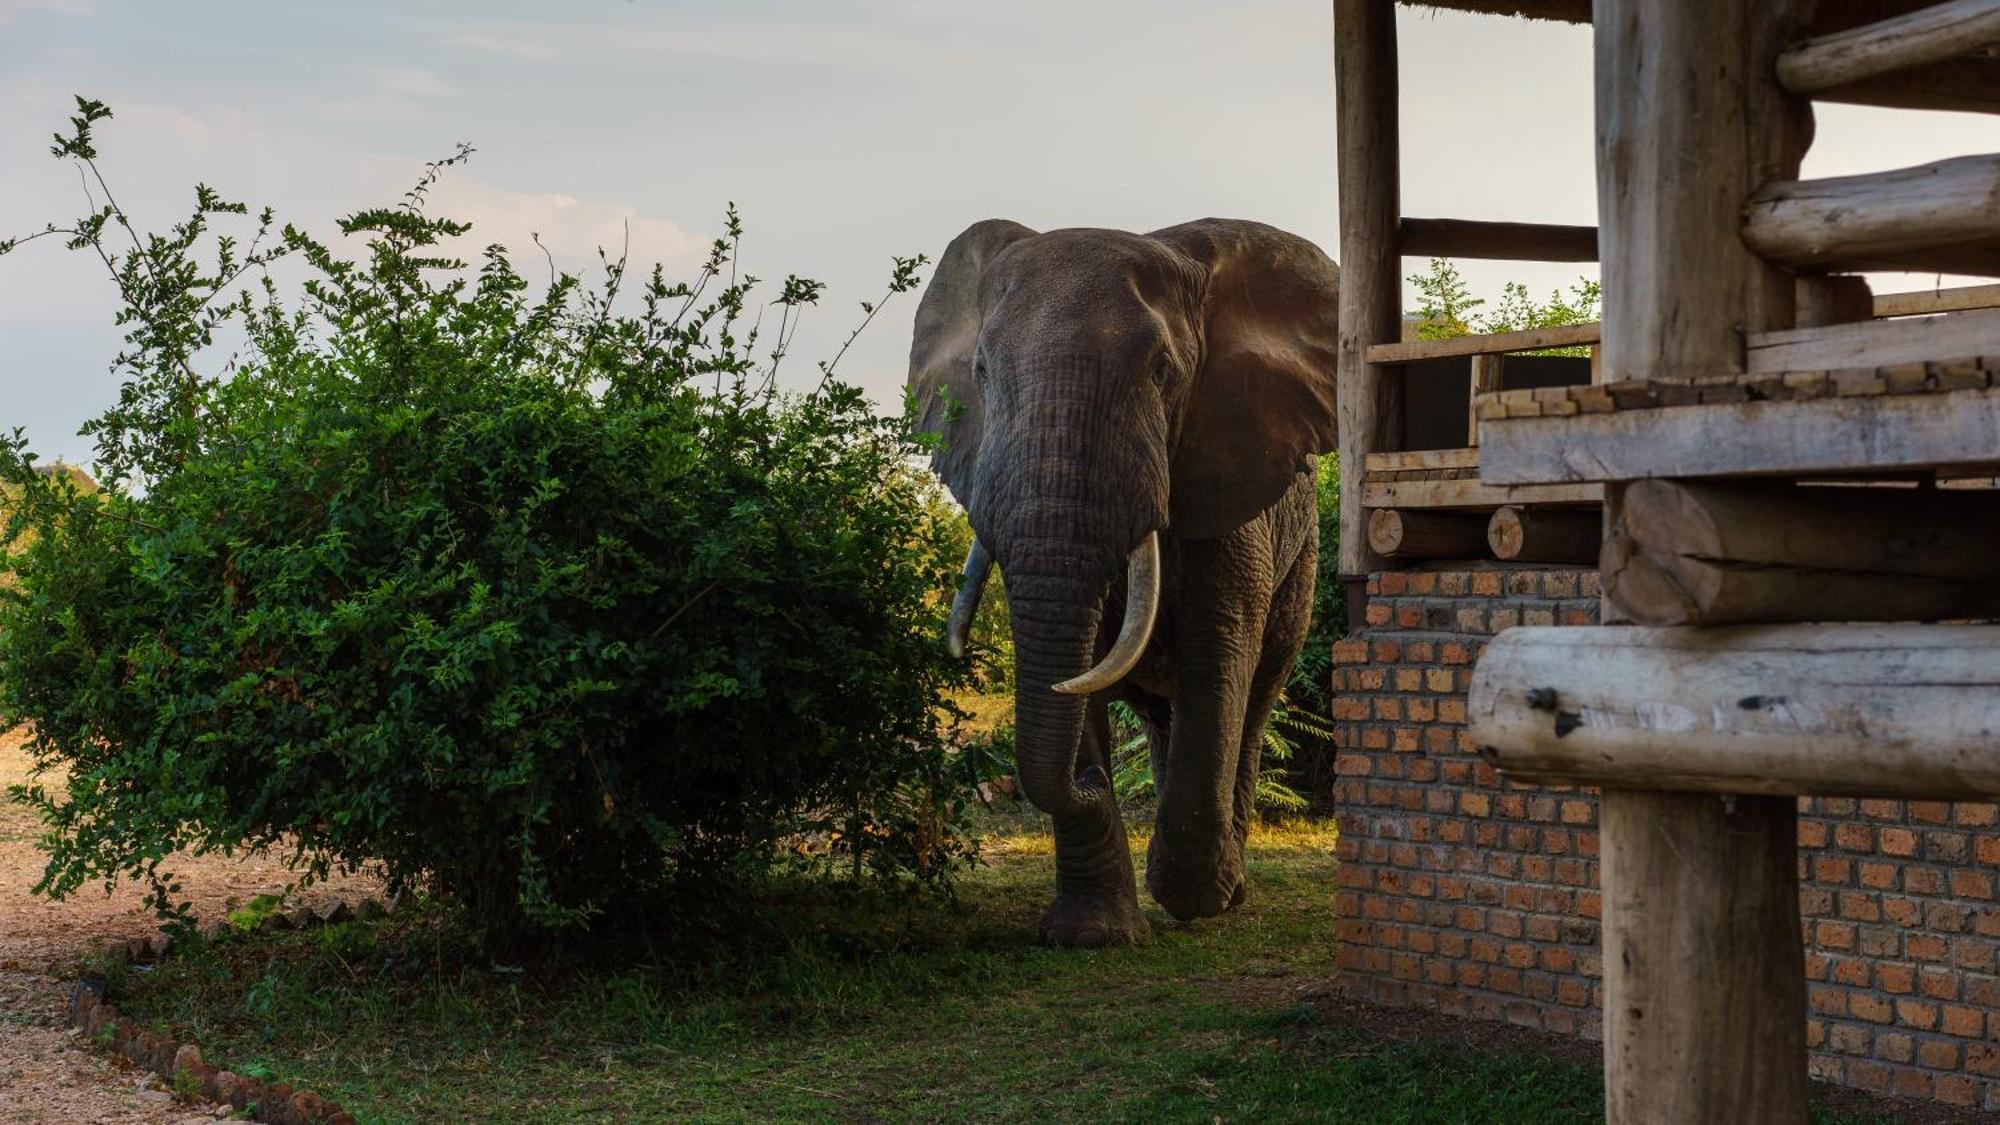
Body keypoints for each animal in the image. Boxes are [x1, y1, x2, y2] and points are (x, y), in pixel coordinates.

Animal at [912, 214, 1344, 940]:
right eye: (980, 371)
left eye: (1164, 372)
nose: (1088, 780)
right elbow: (1074, 667)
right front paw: (1092, 933)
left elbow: (1217, 658)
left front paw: (1195, 897)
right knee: (1163, 713)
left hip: (1303, 559)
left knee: (1253, 698)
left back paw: (1224, 890)